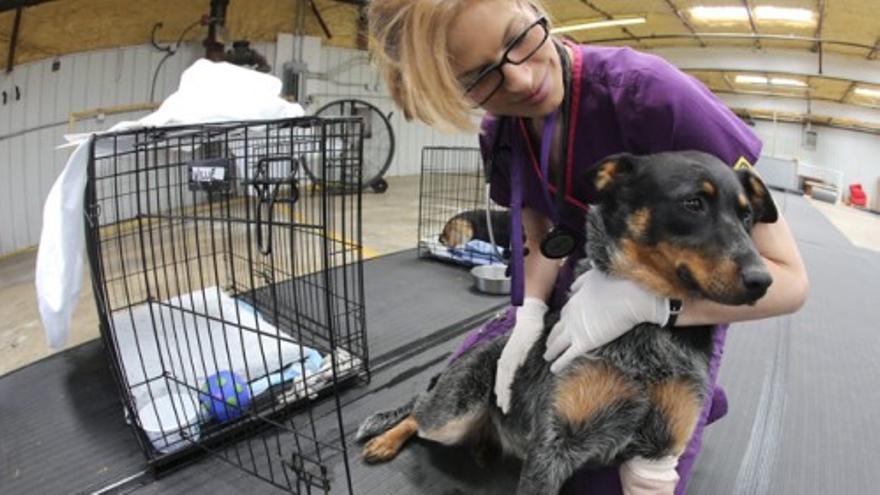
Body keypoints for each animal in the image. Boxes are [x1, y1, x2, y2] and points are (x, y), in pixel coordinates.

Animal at [358, 152, 776, 495]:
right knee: (418, 409)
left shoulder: (657, 457)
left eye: (747, 217)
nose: (763, 280)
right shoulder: (553, 448)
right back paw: (386, 439)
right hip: (451, 416)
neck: (648, 331)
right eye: (693, 203)